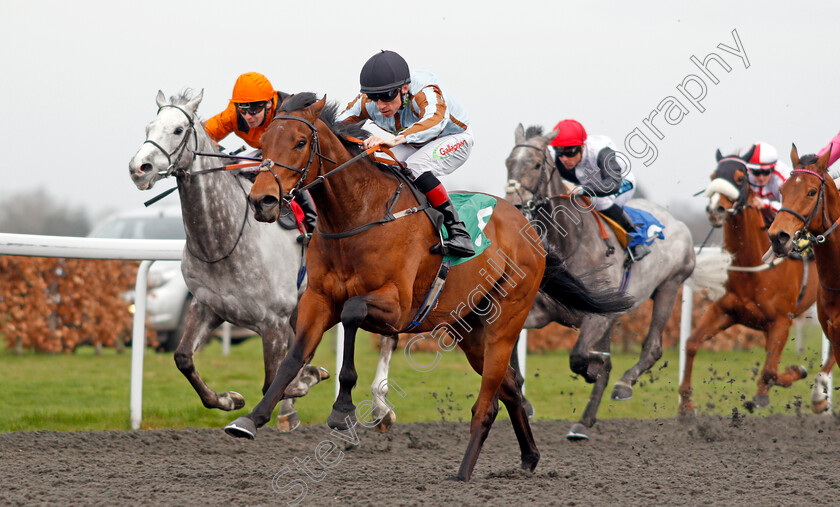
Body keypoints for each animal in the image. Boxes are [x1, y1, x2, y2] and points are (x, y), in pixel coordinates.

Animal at [127, 91, 338, 432]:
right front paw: (228, 399)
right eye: (149, 127)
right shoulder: (207, 306)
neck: (223, 243)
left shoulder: (273, 321)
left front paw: (305, 379)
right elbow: (183, 358)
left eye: (178, 130)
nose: (139, 168)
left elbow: (274, 380)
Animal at [223, 93, 632, 482]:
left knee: (488, 402)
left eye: (300, 142)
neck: (359, 215)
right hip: (470, 331)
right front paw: (250, 419)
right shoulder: (318, 300)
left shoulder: (396, 307)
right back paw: (529, 457)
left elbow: (352, 313)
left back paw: (463, 473)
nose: (263, 201)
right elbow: (293, 358)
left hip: (505, 323)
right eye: (264, 142)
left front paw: (343, 409)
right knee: (510, 388)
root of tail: (529, 228)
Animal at [508, 124, 712, 440]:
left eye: (537, 164)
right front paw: (525, 402)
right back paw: (583, 422)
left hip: (670, 285)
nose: (514, 204)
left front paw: (592, 368)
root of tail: (676, 222)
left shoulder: (597, 316)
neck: (571, 243)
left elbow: (579, 357)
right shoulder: (542, 311)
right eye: (509, 162)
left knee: (652, 346)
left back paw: (624, 384)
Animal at [680, 148, 816, 416]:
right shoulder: (724, 311)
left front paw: (798, 370)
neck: (752, 268)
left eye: (740, 178)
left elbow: (771, 370)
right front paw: (686, 405)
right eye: (713, 176)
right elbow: (691, 343)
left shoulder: (782, 321)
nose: (715, 210)